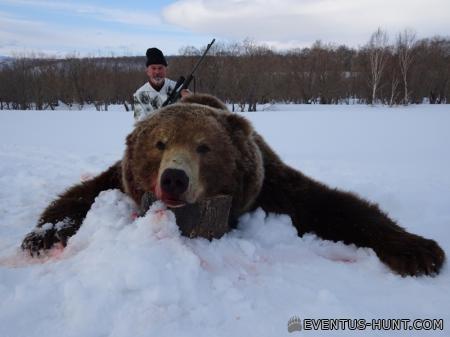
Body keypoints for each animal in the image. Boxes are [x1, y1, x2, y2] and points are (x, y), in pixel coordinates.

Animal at [21, 94, 442, 276]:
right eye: (160, 143)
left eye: (203, 147)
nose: (174, 178)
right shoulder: (119, 179)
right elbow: (78, 197)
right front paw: (40, 237)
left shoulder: (271, 186)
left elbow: (335, 207)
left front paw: (419, 250)